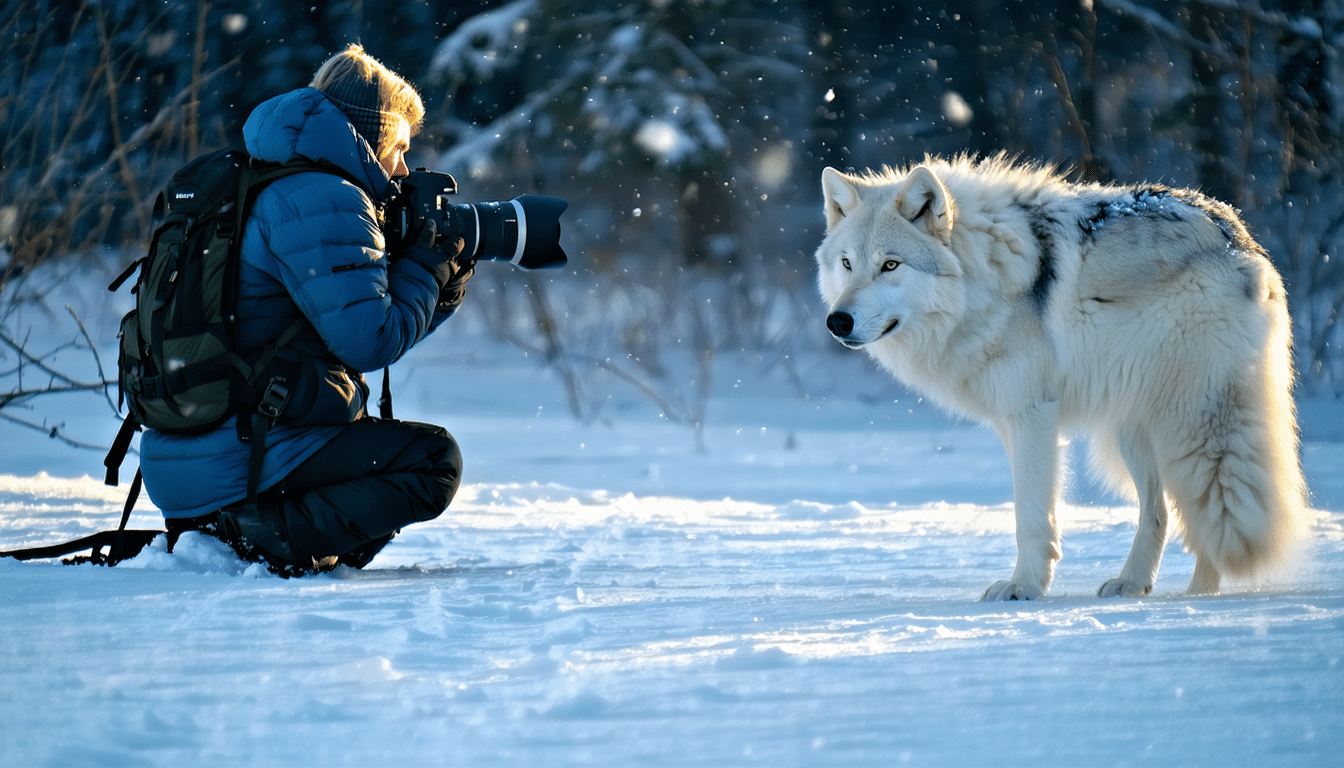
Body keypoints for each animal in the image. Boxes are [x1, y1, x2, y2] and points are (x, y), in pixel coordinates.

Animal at [815, 155, 1308, 600]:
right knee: (1160, 511)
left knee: (1208, 504)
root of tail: (1236, 232)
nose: (837, 321)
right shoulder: (1013, 421)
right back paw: (1136, 585)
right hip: (1135, 429)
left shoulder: (1033, 415)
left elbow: (1031, 516)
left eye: (890, 265)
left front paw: (1023, 588)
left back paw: (1199, 595)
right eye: (847, 263)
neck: (982, 278)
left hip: (1191, 424)